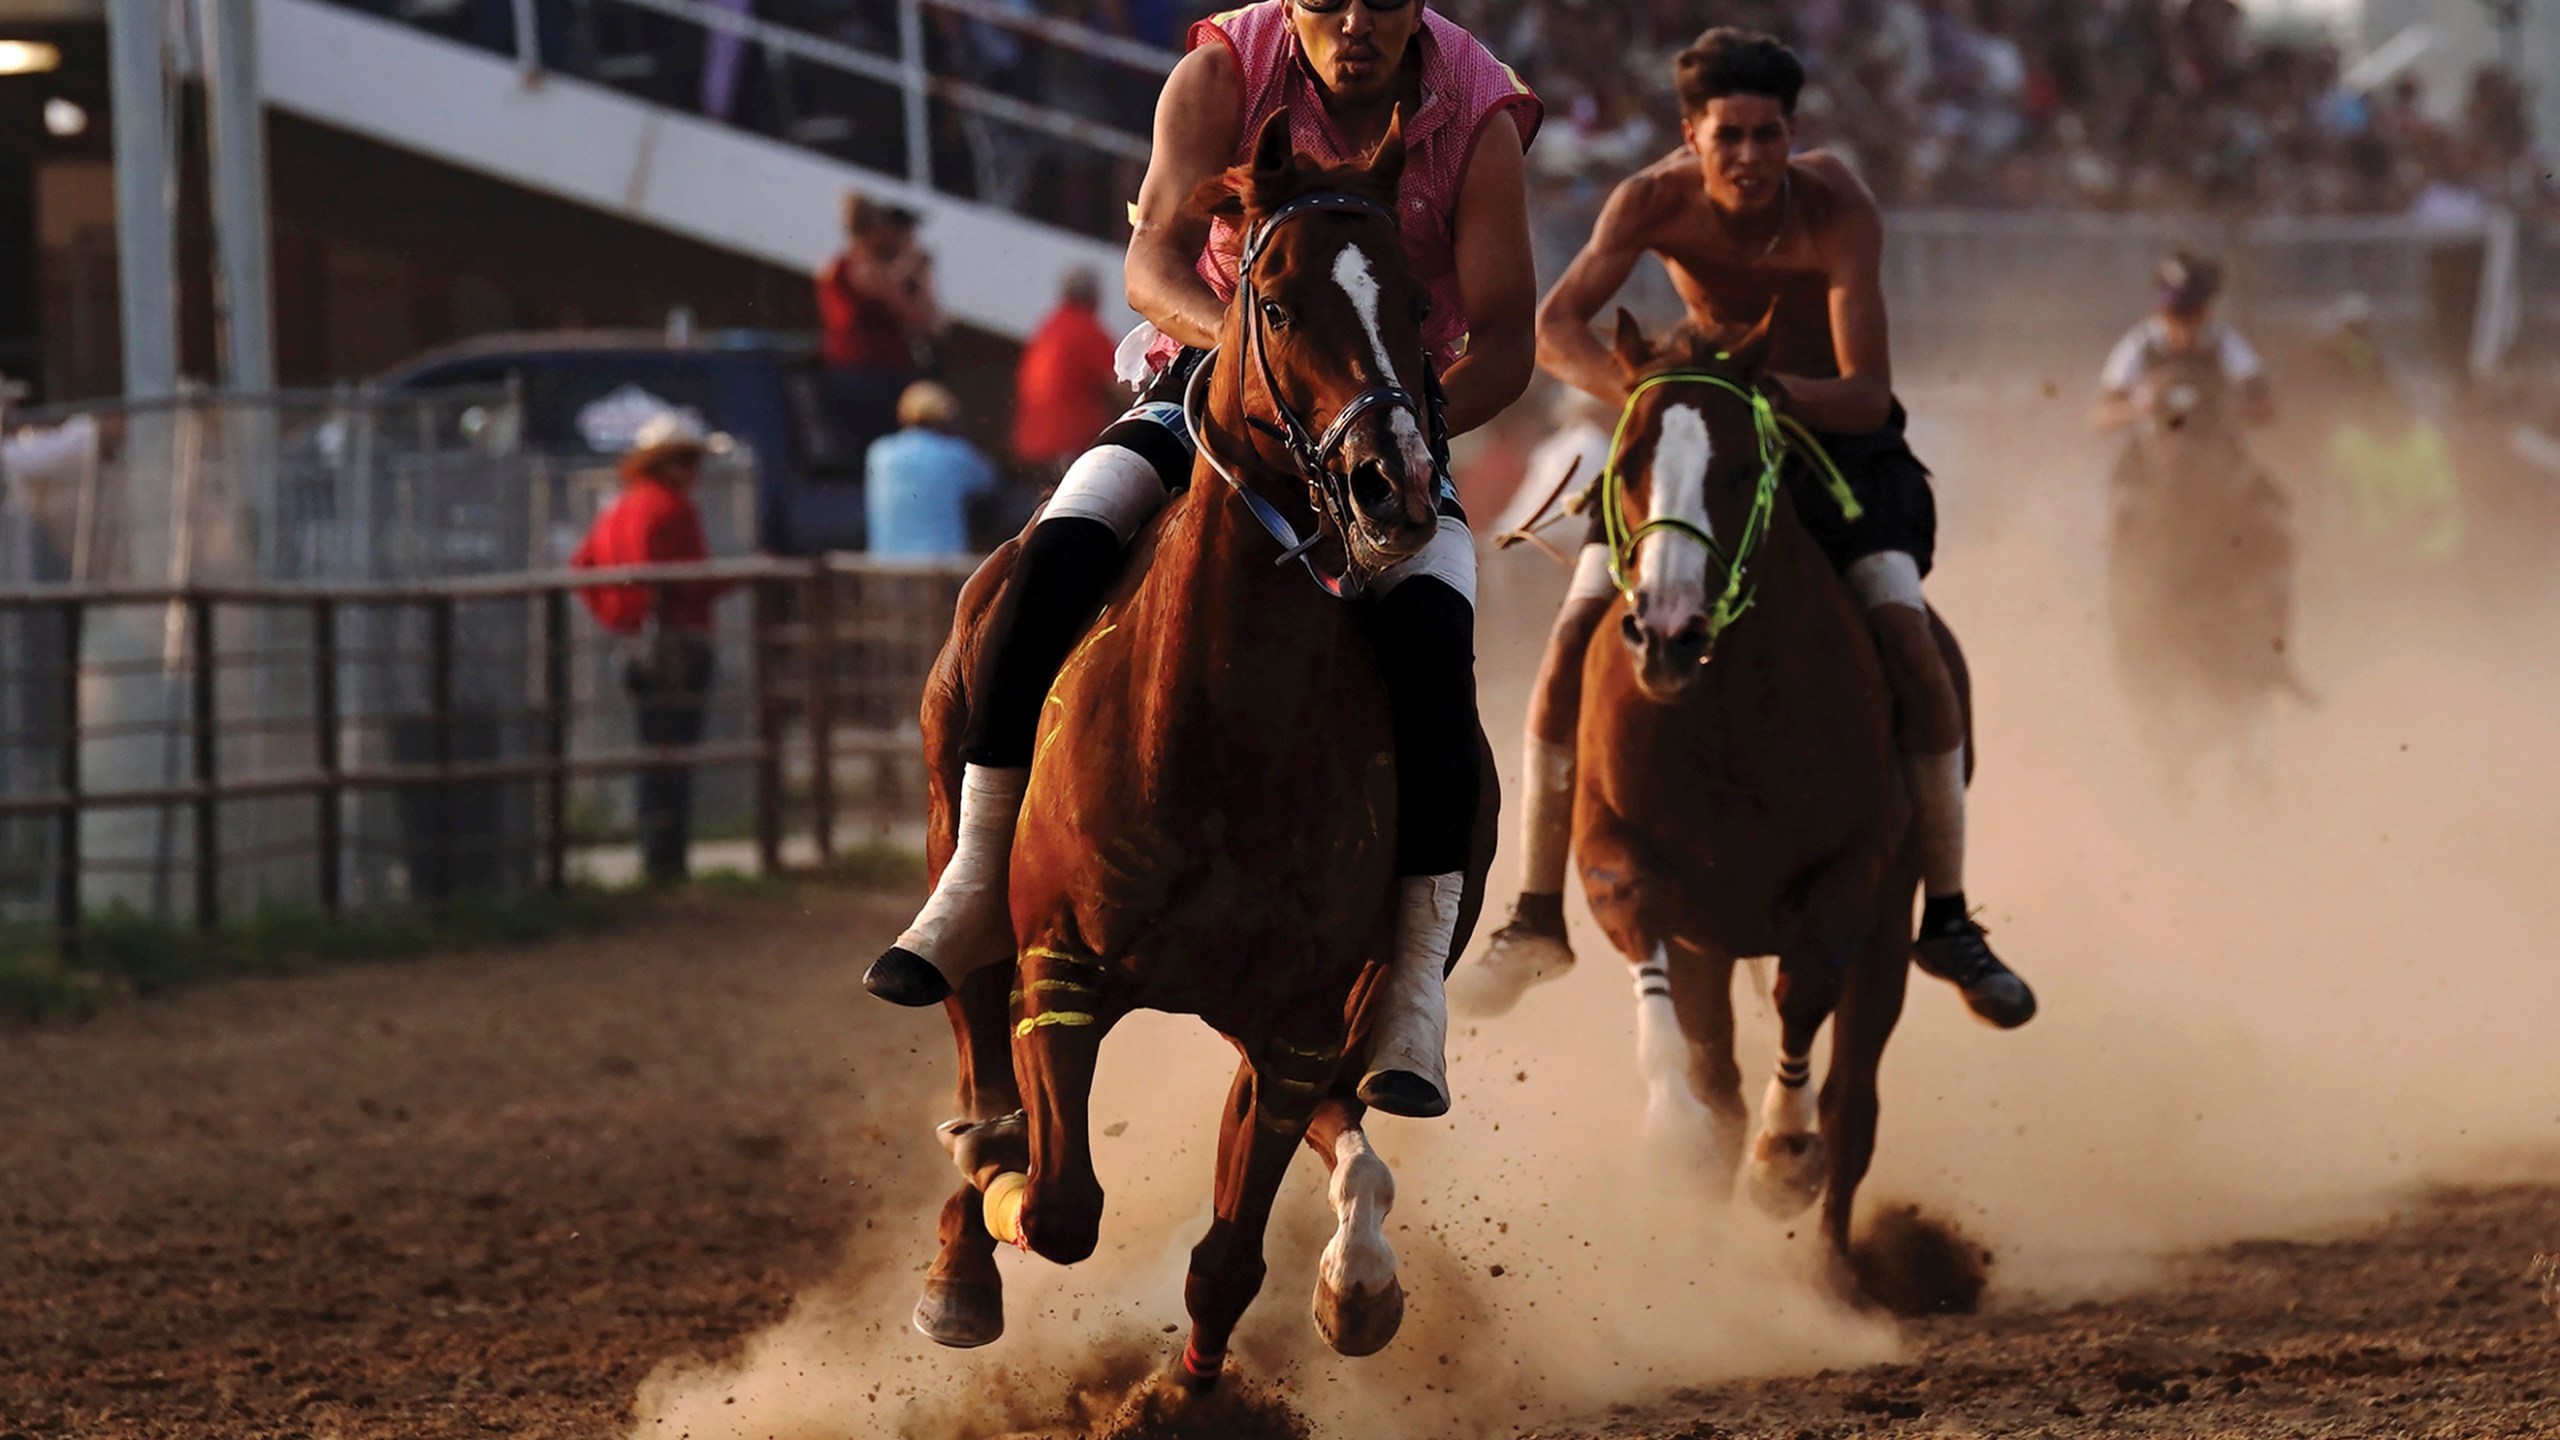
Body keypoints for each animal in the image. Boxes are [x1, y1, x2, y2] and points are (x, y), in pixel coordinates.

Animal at [901, 114, 1495, 1393]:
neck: (1224, 726)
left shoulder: (1296, 1023)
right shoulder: (1062, 967)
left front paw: (1189, 1388)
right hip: (957, 845)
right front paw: (993, 1173)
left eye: (1419, 300)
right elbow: (1057, 1202)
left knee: (1348, 1122)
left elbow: (1228, 1252)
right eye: (1273, 302)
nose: (1391, 487)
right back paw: (963, 1247)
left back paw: (1358, 1273)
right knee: (972, 1023)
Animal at [1576, 311, 1976, 1265]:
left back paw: (1831, 1273)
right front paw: (1678, 1132)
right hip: (1711, 944)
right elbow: (1639, 929)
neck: (1722, 708)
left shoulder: (1856, 872)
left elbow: (1806, 996)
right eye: (1626, 464)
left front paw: (1784, 1155)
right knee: (1720, 1065)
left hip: (1890, 925)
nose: (1668, 632)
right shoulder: (1618, 847)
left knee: (1856, 1099)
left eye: (1737, 468)